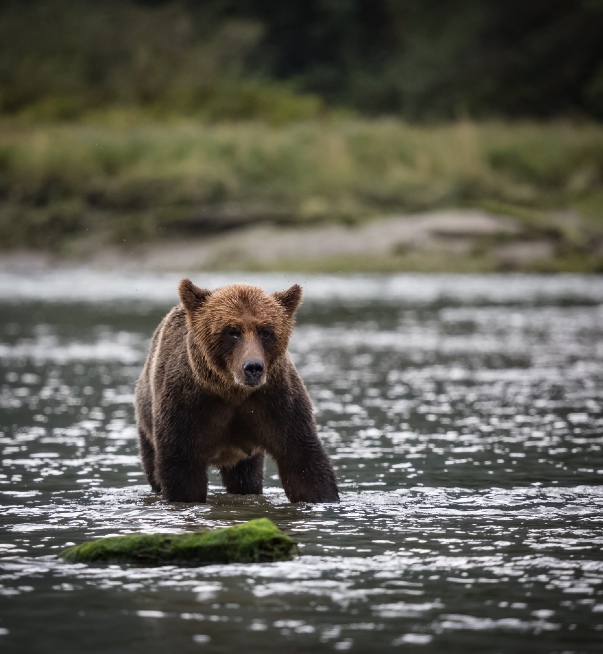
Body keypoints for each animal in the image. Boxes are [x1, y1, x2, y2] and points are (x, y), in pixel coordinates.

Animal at [134, 279, 339, 504]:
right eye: (232, 331)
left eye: (265, 331)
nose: (253, 368)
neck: (233, 391)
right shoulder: (188, 405)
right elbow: (181, 469)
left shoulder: (275, 402)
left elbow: (302, 460)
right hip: (146, 423)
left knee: (247, 477)